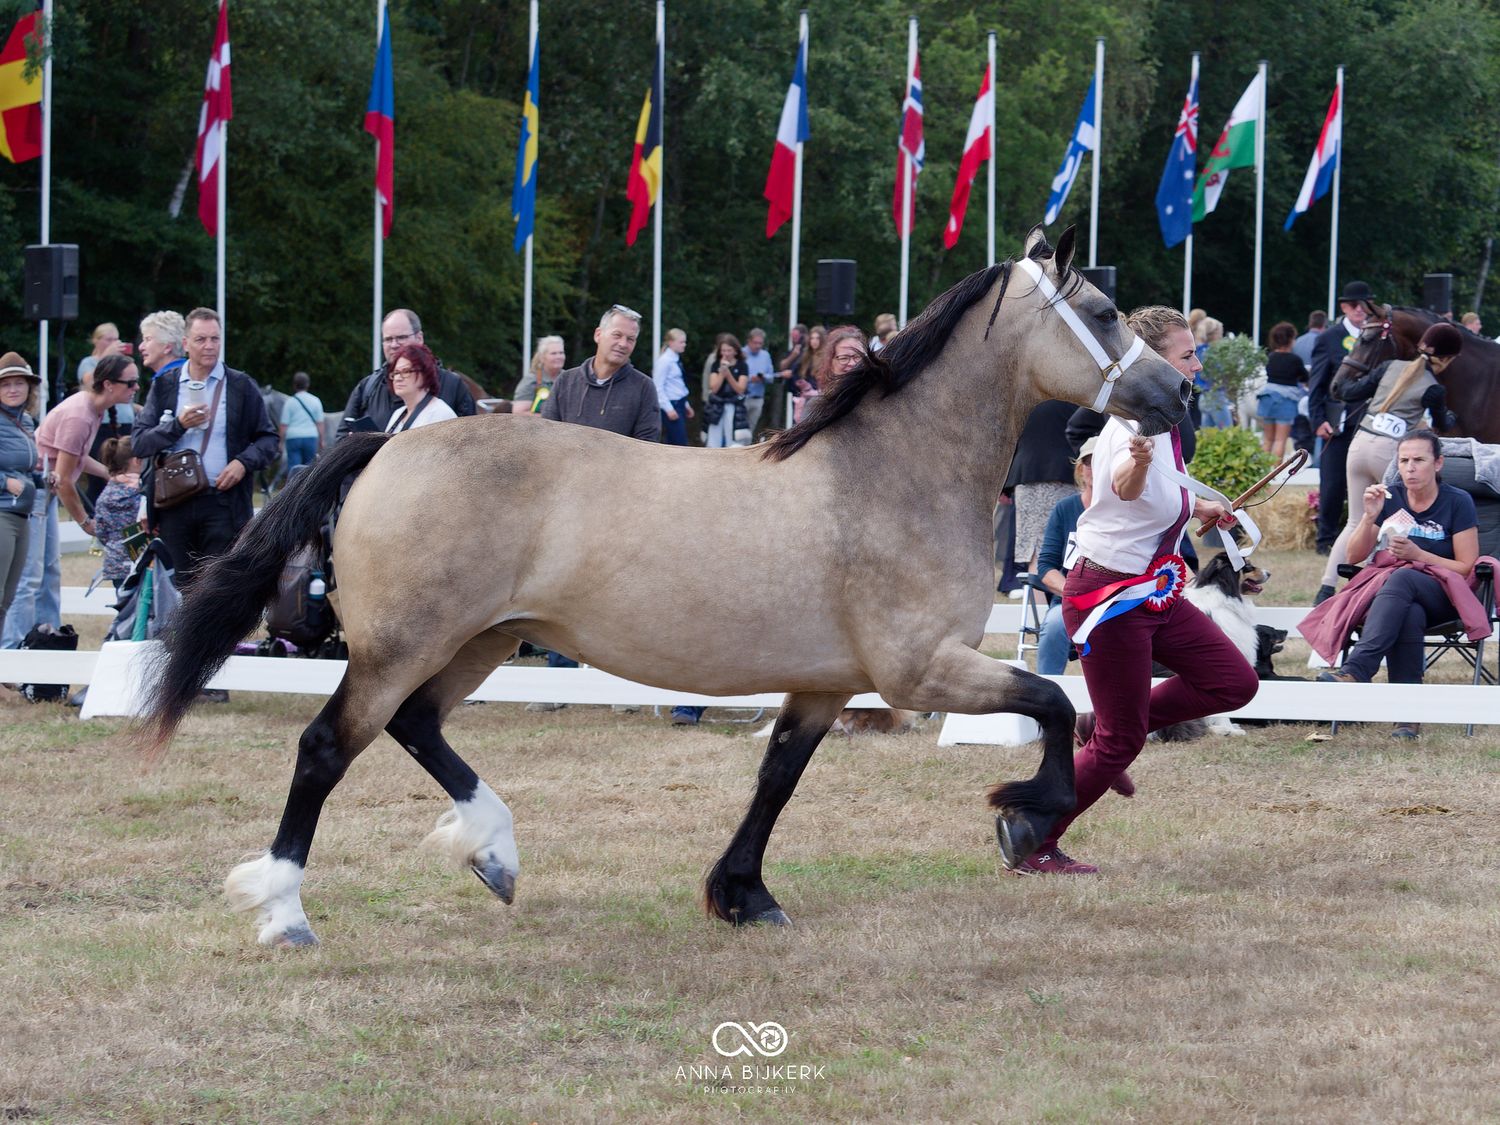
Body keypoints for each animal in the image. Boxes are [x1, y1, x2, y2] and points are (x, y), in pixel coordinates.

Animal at [138, 226, 1191, 948]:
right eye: (1104, 316)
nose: (1179, 395)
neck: (887, 473)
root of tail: (387, 445)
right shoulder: (919, 671)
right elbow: (1051, 702)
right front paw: (1027, 813)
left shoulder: (826, 683)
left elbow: (777, 777)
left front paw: (743, 894)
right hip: (404, 643)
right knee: (327, 746)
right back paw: (284, 910)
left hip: (482, 638)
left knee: (416, 725)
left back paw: (493, 851)